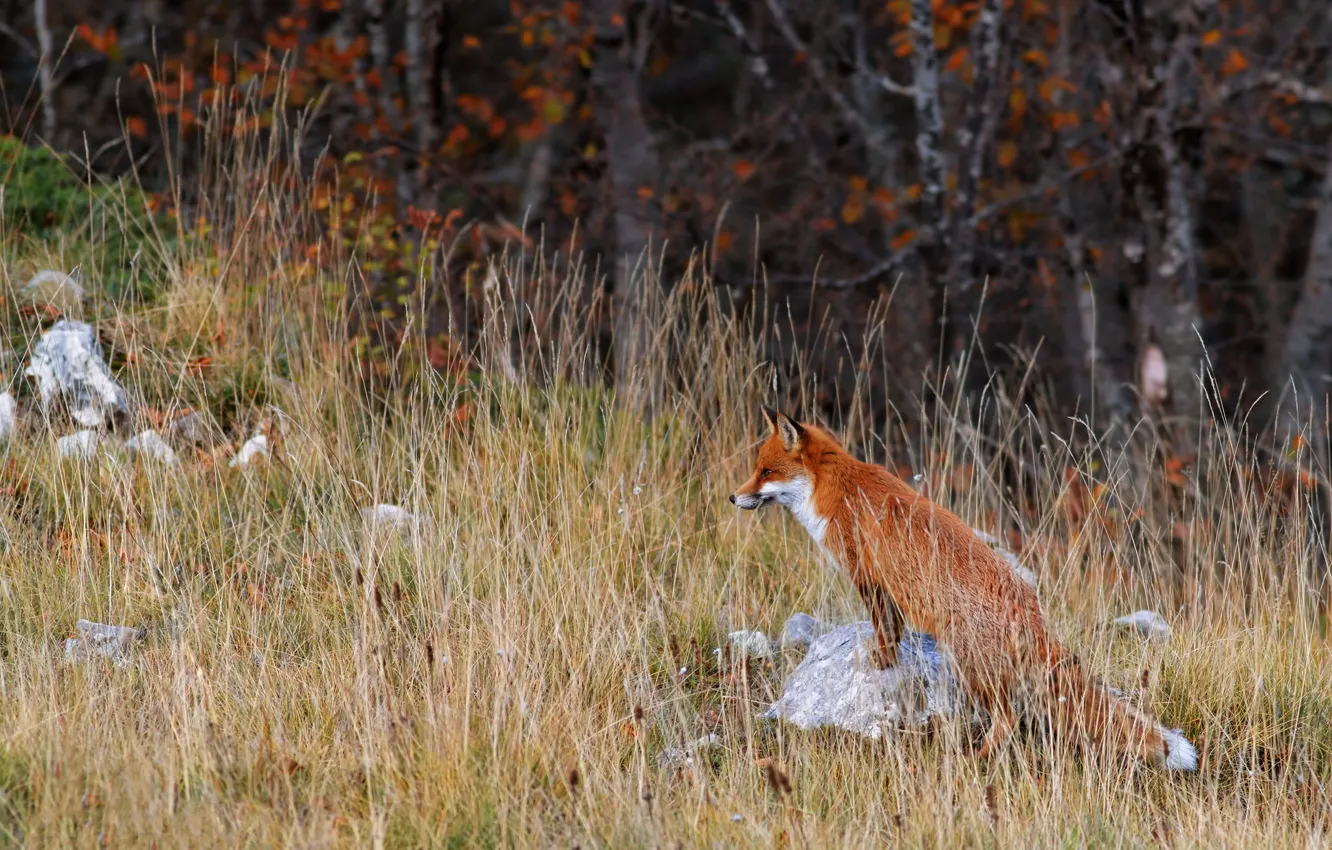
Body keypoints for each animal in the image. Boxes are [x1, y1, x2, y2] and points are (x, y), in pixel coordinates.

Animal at [731, 406, 1197, 771]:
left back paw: (978, 758)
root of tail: (1032, 613)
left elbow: (886, 631)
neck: (838, 489)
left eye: (766, 472)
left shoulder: (871, 577)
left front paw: (881, 662)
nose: (734, 498)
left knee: (1007, 718)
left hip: (970, 666)